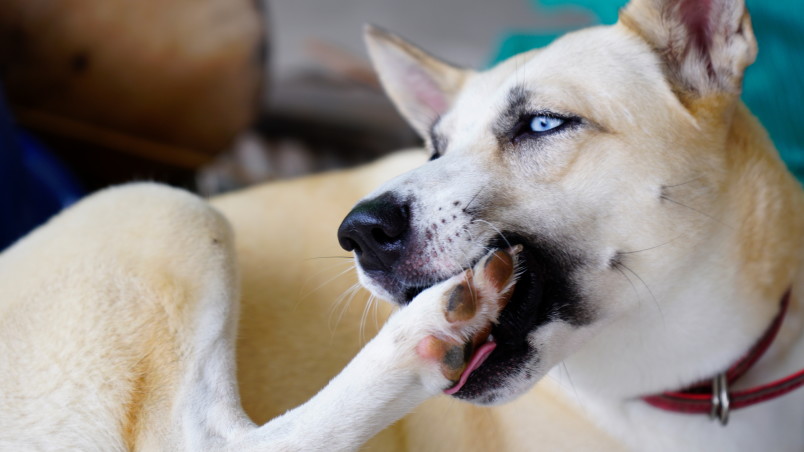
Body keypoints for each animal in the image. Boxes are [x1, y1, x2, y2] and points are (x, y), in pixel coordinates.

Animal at [1, 0, 804, 448]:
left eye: (544, 123)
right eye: (435, 147)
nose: (356, 231)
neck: (705, 383)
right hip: (162, 204)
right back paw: (416, 339)